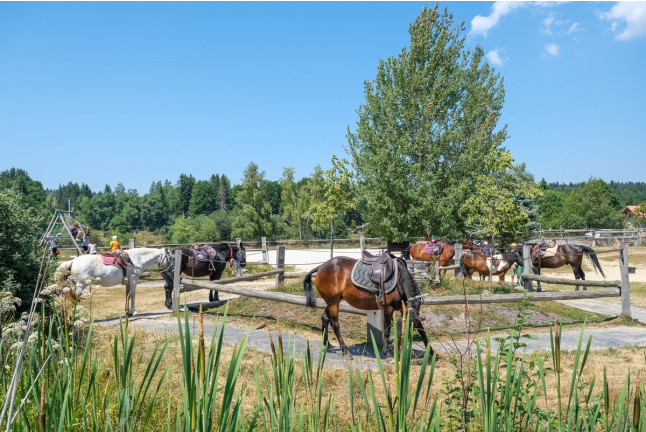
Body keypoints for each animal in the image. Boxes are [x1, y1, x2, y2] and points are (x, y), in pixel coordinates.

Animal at [303, 253, 432, 358]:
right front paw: (388, 353)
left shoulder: (402, 307)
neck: (399, 278)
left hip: (332, 302)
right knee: (335, 324)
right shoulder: (388, 307)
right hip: (333, 303)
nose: (398, 346)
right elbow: (387, 329)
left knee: (325, 318)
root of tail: (321, 267)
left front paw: (430, 352)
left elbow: (420, 326)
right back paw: (345, 351)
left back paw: (329, 346)